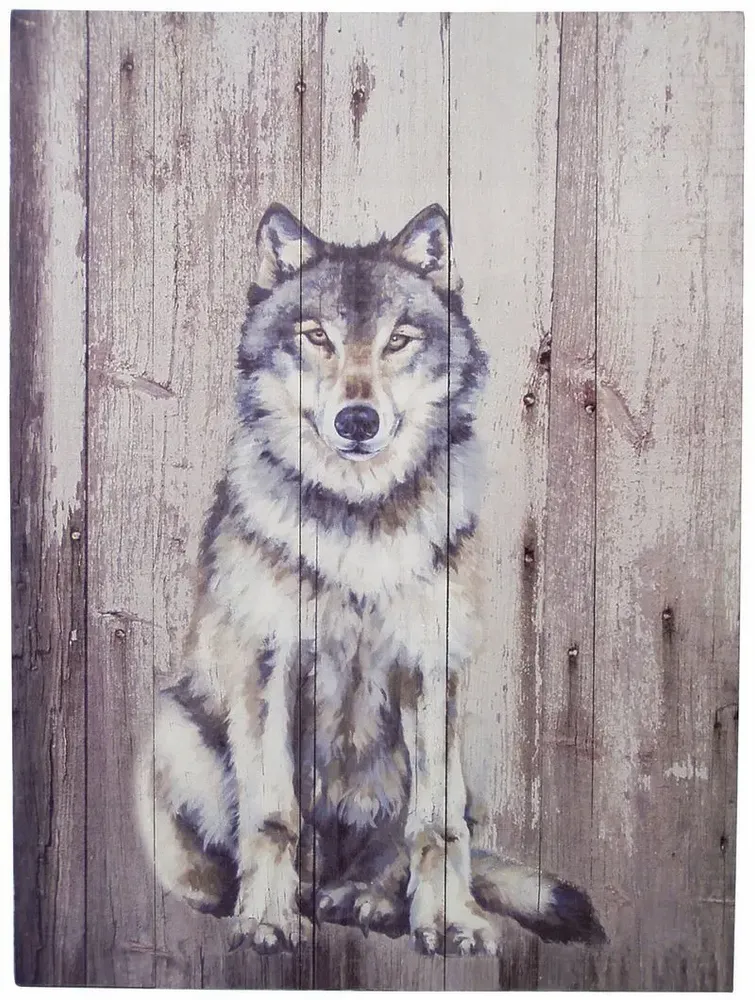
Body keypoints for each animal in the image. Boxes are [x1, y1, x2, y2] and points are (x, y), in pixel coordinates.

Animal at [136, 204, 605, 957]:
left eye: (398, 341)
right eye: (317, 337)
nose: (358, 419)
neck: (357, 519)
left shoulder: (431, 667)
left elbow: (437, 826)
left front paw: (447, 921)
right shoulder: (267, 663)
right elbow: (271, 816)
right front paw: (265, 919)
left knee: (406, 847)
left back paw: (367, 901)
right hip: (175, 726)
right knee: (210, 859)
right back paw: (261, 898)